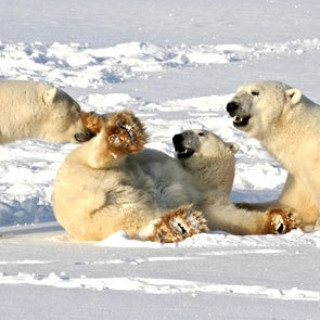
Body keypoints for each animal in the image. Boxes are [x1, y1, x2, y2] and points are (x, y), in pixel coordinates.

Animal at [52, 110, 298, 242]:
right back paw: (122, 133)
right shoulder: (169, 166)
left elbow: (232, 219)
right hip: (88, 167)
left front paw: (281, 221)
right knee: (99, 157)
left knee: (139, 221)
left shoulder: (210, 202)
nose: (177, 137)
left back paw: (178, 225)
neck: (202, 179)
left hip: (110, 217)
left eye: (201, 133)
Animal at [225, 80, 320, 230]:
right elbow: (295, 205)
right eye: (238, 91)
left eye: (255, 92)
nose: (231, 105)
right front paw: (241, 205)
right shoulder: (299, 176)